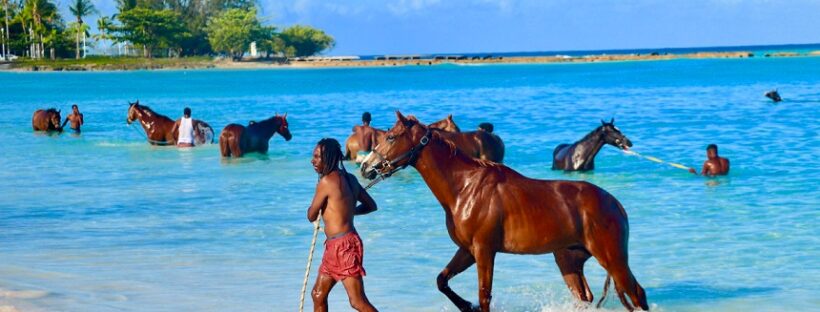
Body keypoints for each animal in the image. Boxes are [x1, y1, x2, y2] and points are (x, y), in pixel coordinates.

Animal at [362, 112, 652, 312]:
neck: (465, 187)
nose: (366, 167)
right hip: (569, 260)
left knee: (637, 293)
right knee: (585, 297)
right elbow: (442, 281)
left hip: (612, 258)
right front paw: (466, 306)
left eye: (390, 137)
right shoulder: (466, 250)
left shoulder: (484, 250)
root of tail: (615, 204)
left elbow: (484, 295)